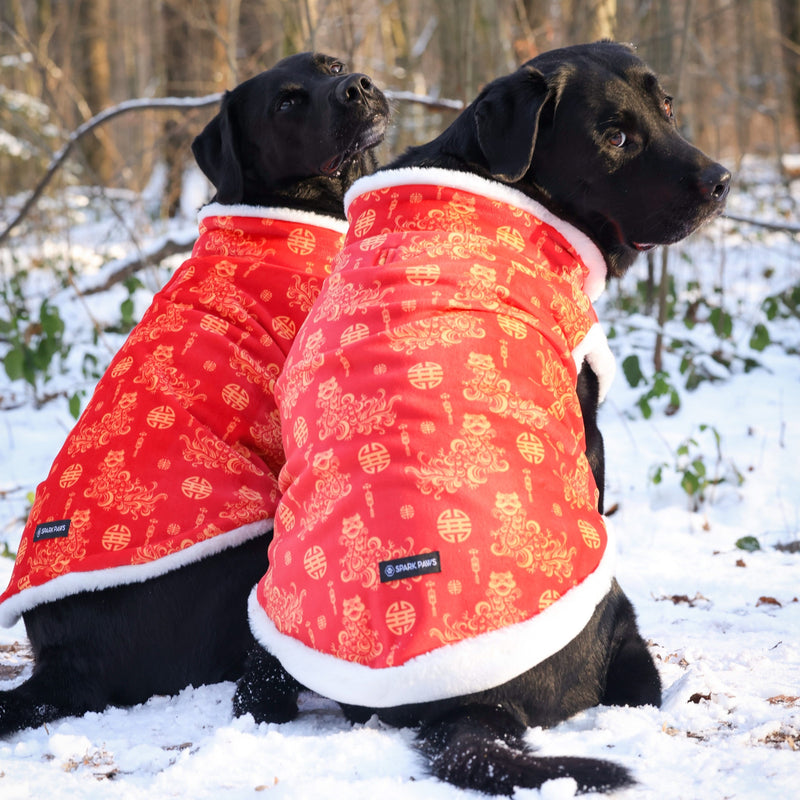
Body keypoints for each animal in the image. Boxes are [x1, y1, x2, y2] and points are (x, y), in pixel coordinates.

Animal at [0, 50, 388, 736]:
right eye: (287, 102)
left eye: (334, 65)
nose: (358, 86)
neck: (281, 211)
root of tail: (62, 660)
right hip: (251, 547)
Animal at [233, 42, 732, 792]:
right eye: (615, 137)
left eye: (666, 106)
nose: (723, 180)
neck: (500, 185)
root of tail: (469, 706)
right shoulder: (586, 418)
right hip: (614, 613)